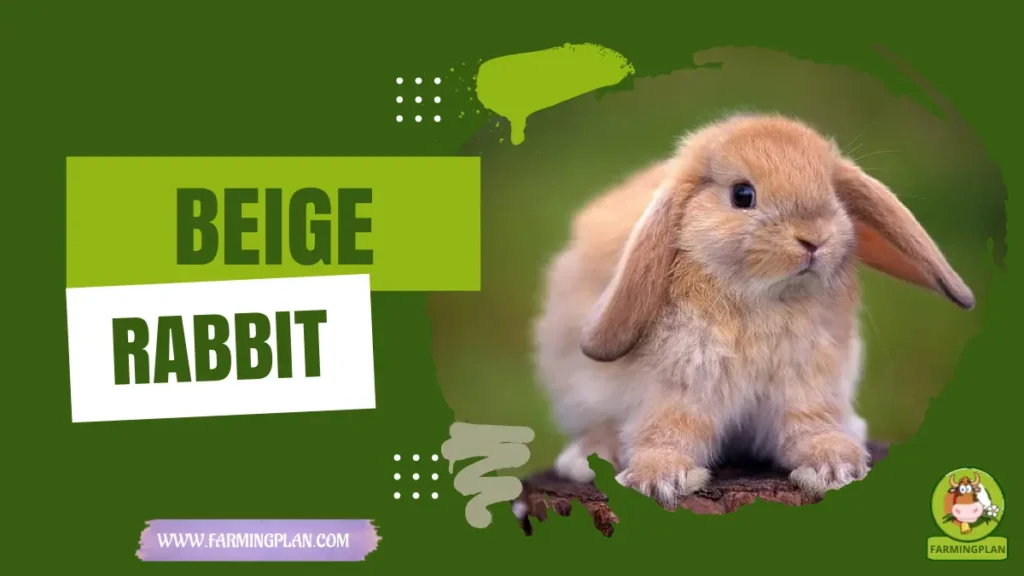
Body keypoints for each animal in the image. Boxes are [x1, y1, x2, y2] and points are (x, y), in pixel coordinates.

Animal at [532, 112, 974, 508]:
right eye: (742, 195)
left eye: (832, 193)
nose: (814, 239)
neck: (764, 297)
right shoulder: (680, 386)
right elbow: (668, 431)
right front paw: (657, 480)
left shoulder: (808, 385)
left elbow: (809, 427)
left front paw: (836, 466)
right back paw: (586, 459)